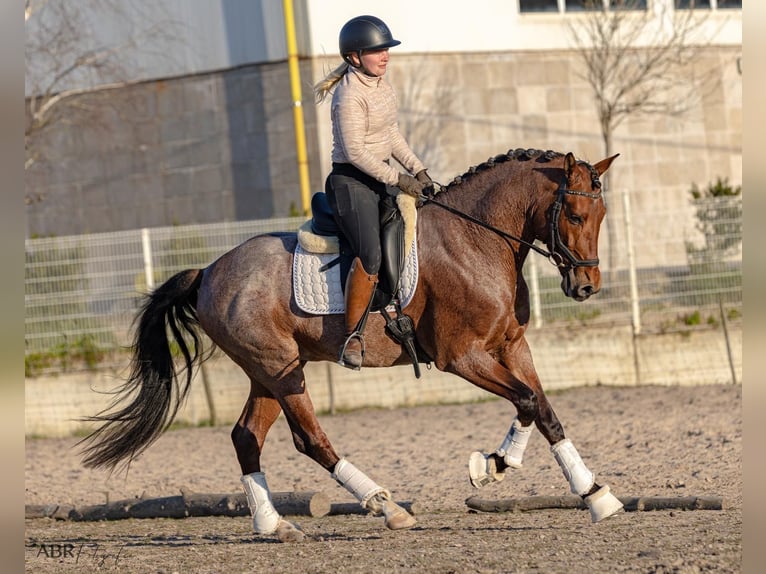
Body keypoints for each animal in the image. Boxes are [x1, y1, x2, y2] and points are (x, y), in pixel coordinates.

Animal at [81, 148, 624, 544]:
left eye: (601, 213)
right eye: (575, 214)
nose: (586, 287)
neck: (476, 238)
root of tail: (209, 271)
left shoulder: (512, 346)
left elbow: (543, 408)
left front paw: (590, 493)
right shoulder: (462, 357)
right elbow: (527, 400)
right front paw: (492, 466)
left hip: (268, 371)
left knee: (246, 437)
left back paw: (274, 525)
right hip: (282, 370)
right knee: (310, 439)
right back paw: (386, 507)